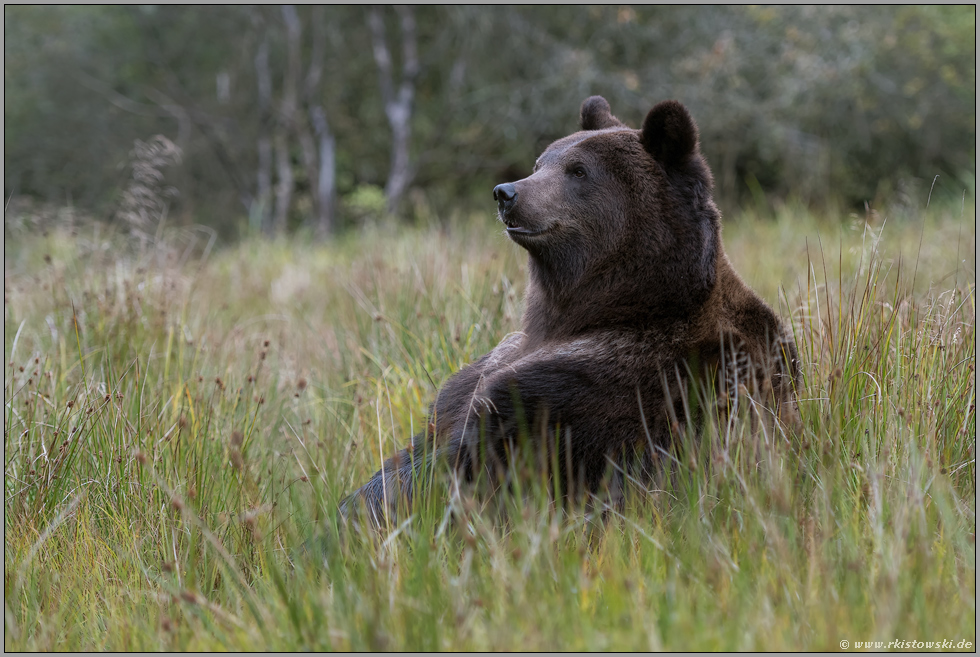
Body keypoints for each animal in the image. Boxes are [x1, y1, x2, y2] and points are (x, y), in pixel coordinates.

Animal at [340, 95, 800, 524]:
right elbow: (433, 431)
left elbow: (465, 466)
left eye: (578, 171)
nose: (507, 192)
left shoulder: (600, 387)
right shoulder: (489, 365)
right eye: (541, 162)